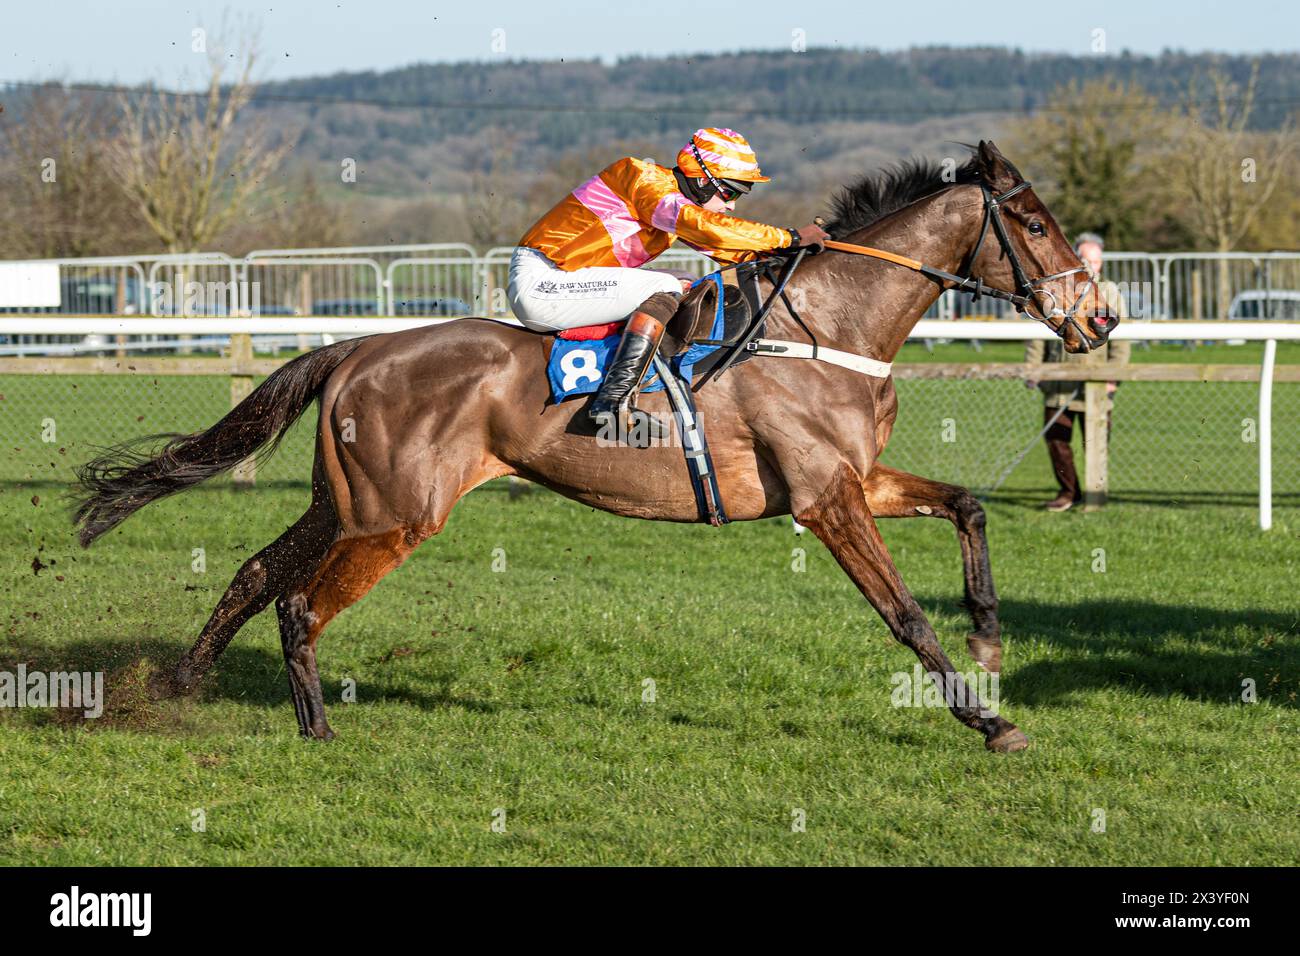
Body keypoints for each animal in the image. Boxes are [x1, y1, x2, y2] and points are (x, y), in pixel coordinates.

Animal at [73, 143, 1107, 754]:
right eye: (1037, 224)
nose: (1098, 317)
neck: (824, 327)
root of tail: (360, 348)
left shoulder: (854, 479)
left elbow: (968, 504)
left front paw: (990, 632)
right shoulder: (825, 498)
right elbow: (904, 616)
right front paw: (989, 720)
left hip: (347, 503)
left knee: (255, 571)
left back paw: (178, 684)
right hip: (397, 516)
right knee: (298, 601)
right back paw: (318, 728)